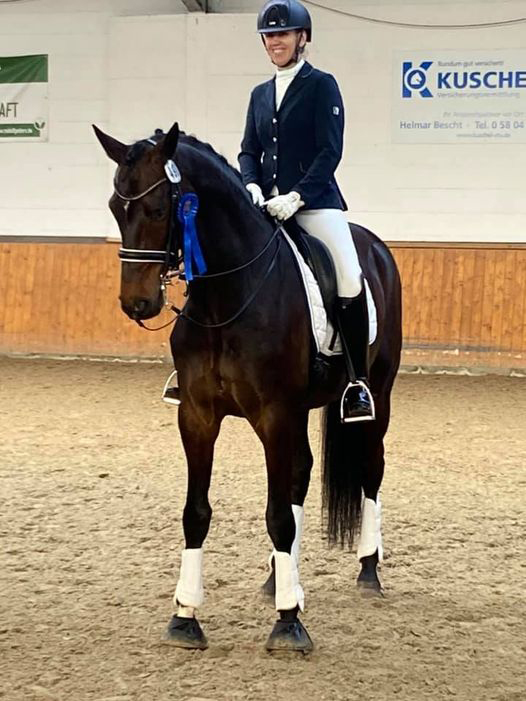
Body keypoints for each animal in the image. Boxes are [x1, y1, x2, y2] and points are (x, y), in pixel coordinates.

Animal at [93, 123, 402, 652]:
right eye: (116, 207)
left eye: (158, 210)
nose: (137, 304)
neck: (226, 296)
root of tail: (376, 248)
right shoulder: (197, 415)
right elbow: (196, 512)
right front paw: (185, 617)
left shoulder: (274, 414)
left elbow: (277, 513)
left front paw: (289, 624)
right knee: (300, 473)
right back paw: (280, 576)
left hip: (376, 396)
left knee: (370, 469)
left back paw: (367, 571)